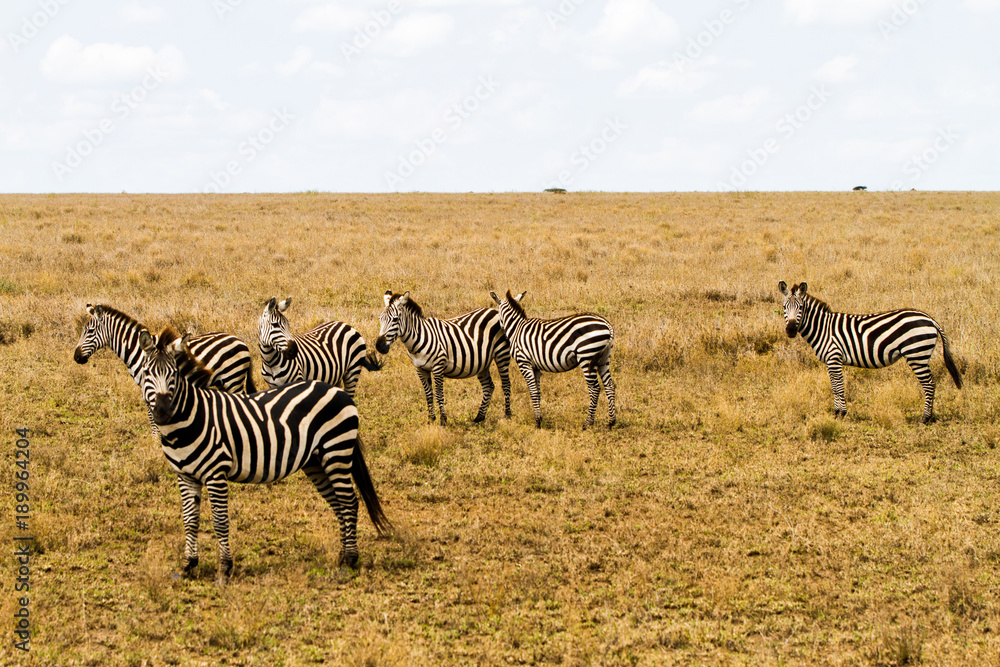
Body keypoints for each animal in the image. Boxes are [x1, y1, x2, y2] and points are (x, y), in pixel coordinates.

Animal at [73, 303, 255, 435]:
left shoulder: (149, 385)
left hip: (233, 379)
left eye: (90, 331)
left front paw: (156, 439)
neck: (138, 351)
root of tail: (240, 341)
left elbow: (152, 416)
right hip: (223, 382)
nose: (76, 357)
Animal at [137, 327, 392, 581]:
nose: (162, 412)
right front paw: (188, 564)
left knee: (349, 502)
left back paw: (350, 559)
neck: (194, 418)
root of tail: (337, 390)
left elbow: (220, 522)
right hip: (316, 461)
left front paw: (224, 569)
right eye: (147, 373)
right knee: (338, 503)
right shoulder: (185, 475)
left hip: (336, 451)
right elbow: (189, 520)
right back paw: (341, 555)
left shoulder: (216, 473)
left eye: (173, 374)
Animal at [375, 290, 512, 425]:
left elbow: (439, 394)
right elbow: (428, 394)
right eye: (380, 319)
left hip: (501, 354)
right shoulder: (420, 369)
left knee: (506, 384)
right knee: (489, 386)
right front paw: (431, 419)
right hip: (482, 362)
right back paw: (479, 417)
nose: (379, 346)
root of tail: (494, 310)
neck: (417, 340)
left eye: (395, 319)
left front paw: (443, 420)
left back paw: (507, 416)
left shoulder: (438, 366)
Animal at [490, 290, 616, 429]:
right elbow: (537, 392)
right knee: (609, 385)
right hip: (603, 358)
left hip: (586, 356)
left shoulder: (524, 362)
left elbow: (532, 391)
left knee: (595, 388)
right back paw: (611, 422)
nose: (499, 331)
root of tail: (607, 325)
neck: (516, 328)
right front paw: (540, 418)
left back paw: (587, 423)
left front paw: (537, 422)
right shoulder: (535, 366)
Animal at [779, 281, 963, 423]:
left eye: (801, 307)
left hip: (917, 354)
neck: (823, 328)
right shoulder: (831, 362)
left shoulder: (834, 358)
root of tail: (930, 319)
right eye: (784, 307)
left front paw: (841, 414)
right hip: (920, 355)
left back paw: (925, 418)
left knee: (929, 384)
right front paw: (837, 413)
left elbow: (838, 387)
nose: (791, 330)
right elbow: (834, 387)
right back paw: (929, 417)